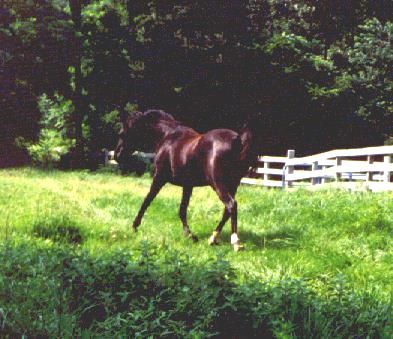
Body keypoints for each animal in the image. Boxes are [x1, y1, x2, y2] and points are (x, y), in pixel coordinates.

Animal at [114, 110, 258, 251]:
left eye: (121, 133)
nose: (117, 155)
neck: (167, 136)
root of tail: (238, 141)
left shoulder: (159, 178)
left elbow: (147, 200)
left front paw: (134, 226)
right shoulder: (188, 185)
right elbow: (182, 209)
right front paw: (190, 235)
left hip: (218, 184)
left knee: (231, 205)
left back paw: (236, 242)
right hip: (233, 185)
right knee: (227, 210)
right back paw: (213, 238)